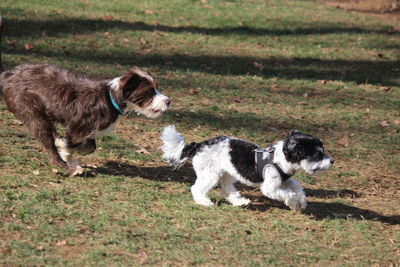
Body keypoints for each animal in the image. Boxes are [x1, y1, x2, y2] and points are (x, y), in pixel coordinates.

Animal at [161, 126, 332, 213]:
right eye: (317, 154)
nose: (332, 161)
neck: (281, 157)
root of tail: (199, 145)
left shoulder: (285, 180)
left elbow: (297, 186)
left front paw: (301, 201)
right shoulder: (270, 187)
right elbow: (288, 193)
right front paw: (294, 202)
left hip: (228, 173)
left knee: (226, 189)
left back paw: (240, 202)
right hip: (210, 174)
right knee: (196, 188)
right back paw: (204, 202)